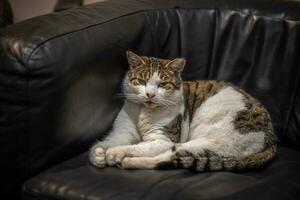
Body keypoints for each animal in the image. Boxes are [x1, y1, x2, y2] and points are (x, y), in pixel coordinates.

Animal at [89, 50, 276, 171]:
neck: (143, 111)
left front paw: (115, 152)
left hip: (202, 141)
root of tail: (272, 140)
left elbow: (137, 147)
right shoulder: (122, 132)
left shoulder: (163, 139)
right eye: (142, 82)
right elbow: (108, 141)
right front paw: (98, 154)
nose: (150, 94)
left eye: (163, 84)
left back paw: (126, 161)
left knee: (166, 157)